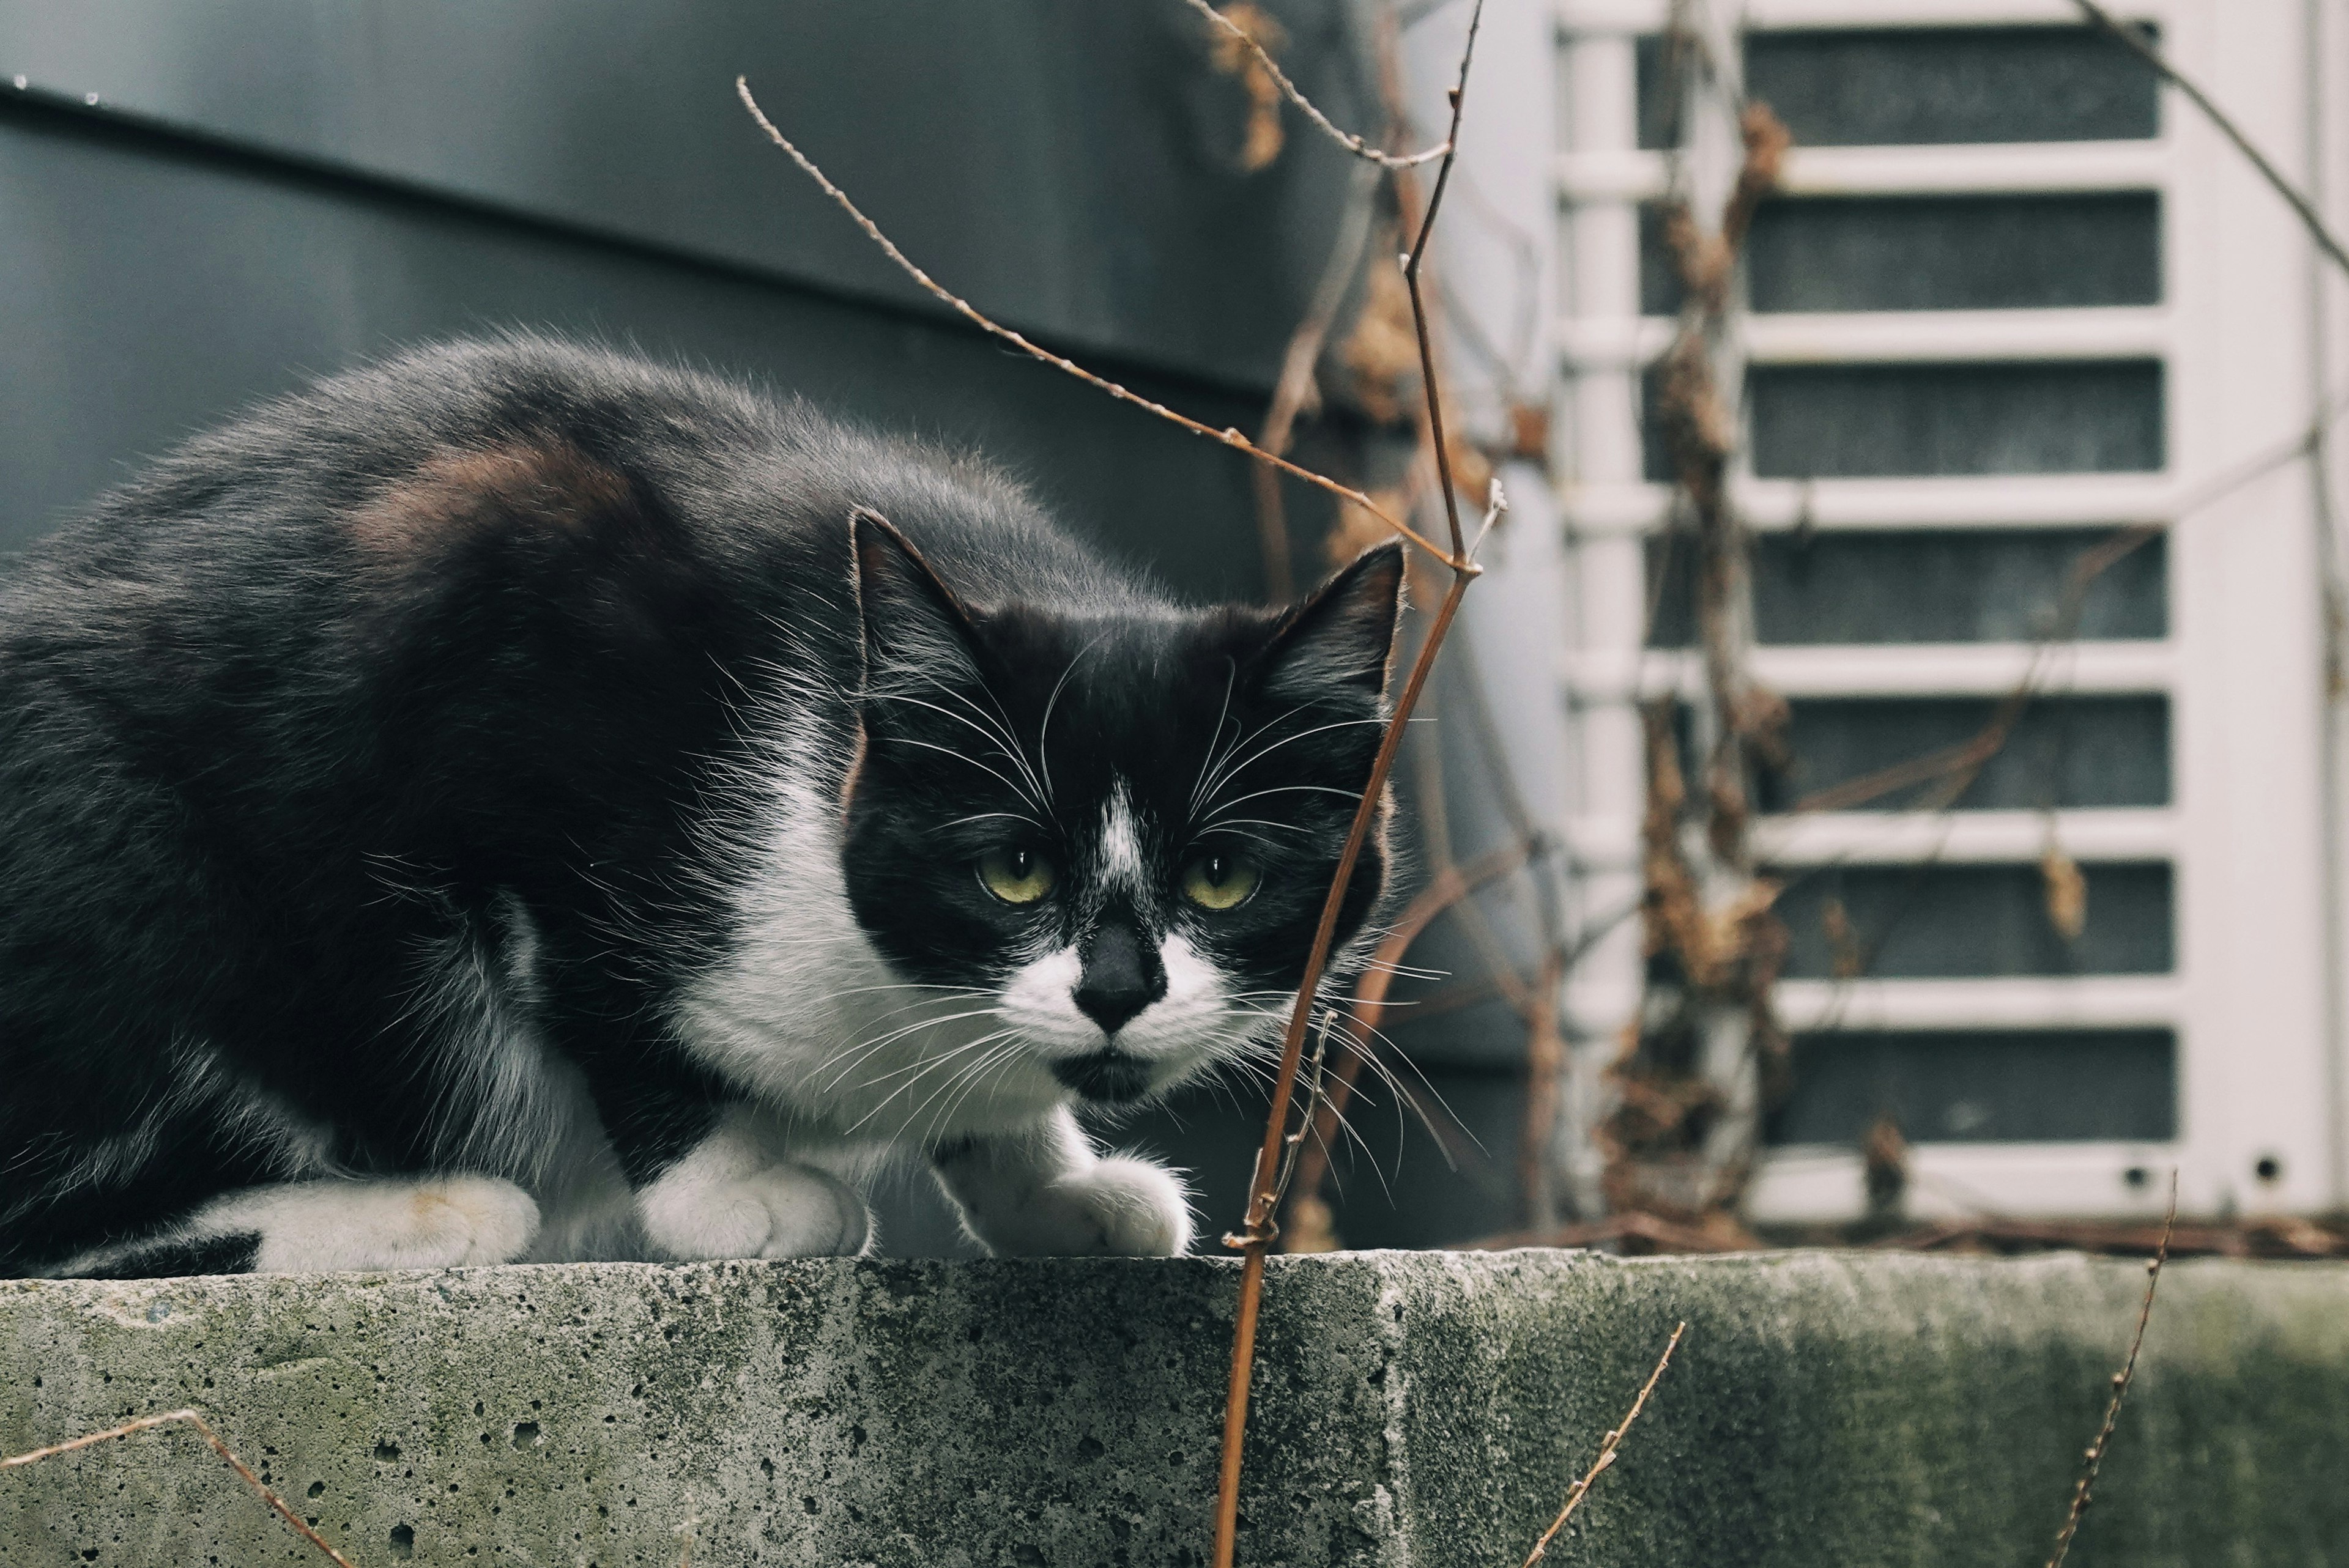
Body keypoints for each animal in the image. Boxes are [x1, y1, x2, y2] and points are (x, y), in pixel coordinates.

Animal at [0, 340, 1390, 1277]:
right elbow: (599, 984)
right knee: (46, 1229)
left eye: (1221, 873)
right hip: (137, 870)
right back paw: (426, 1210)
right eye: (1012, 868)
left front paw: (1054, 1188)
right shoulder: (516, 648)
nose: (1114, 992)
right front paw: (730, 1192)